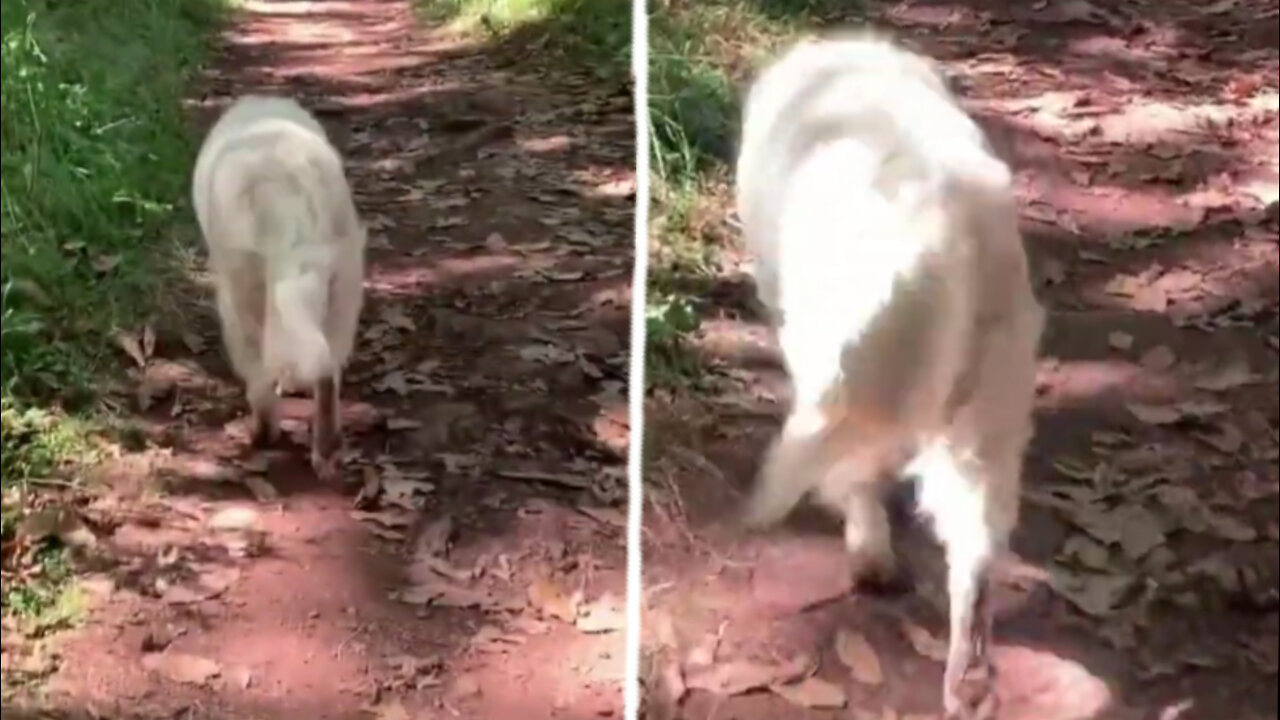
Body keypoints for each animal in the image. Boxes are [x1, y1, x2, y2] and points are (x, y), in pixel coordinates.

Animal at [192, 95, 368, 476]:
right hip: (343, 279)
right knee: (327, 367)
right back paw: (326, 447)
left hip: (241, 287)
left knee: (258, 367)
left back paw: (264, 431)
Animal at [737, 32, 1044, 712]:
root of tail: (954, 233)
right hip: (986, 413)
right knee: (975, 552)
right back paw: (968, 679)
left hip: (845, 368)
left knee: (857, 476)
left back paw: (869, 556)